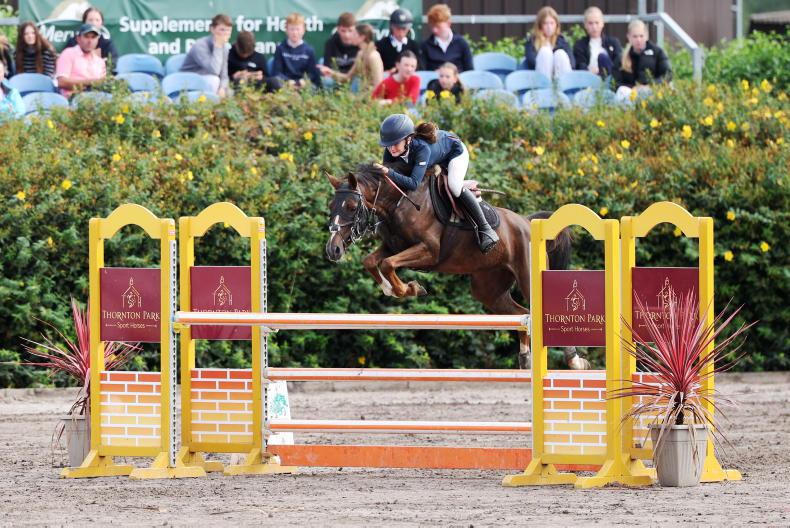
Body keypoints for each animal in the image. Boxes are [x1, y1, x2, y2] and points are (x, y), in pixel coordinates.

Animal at [325, 162, 590, 370]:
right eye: (330, 207)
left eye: (351, 207)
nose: (332, 249)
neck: (398, 202)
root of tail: (526, 222)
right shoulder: (394, 246)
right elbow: (372, 261)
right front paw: (394, 289)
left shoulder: (428, 251)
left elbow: (388, 264)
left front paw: (410, 288)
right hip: (488, 288)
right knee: (521, 313)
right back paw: (525, 358)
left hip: (527, 277)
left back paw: (574, 360)